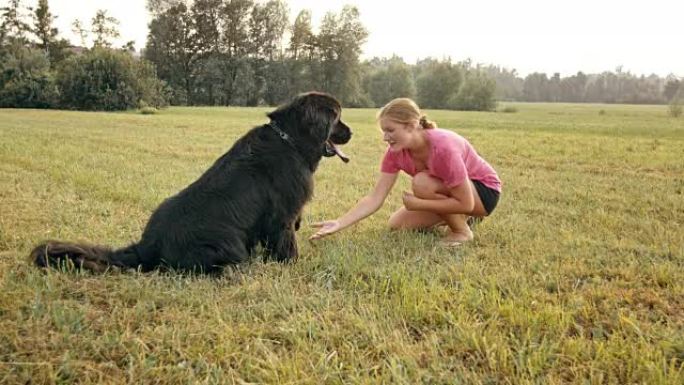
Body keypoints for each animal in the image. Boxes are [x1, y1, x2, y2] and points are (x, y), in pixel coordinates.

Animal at [30, 91, 352, 272]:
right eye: (337, 117)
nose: (352, 132)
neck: (290, 140)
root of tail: (149, 244)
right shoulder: (282, 217)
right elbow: (286, 246)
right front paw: (293, 267)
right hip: (228, 244)